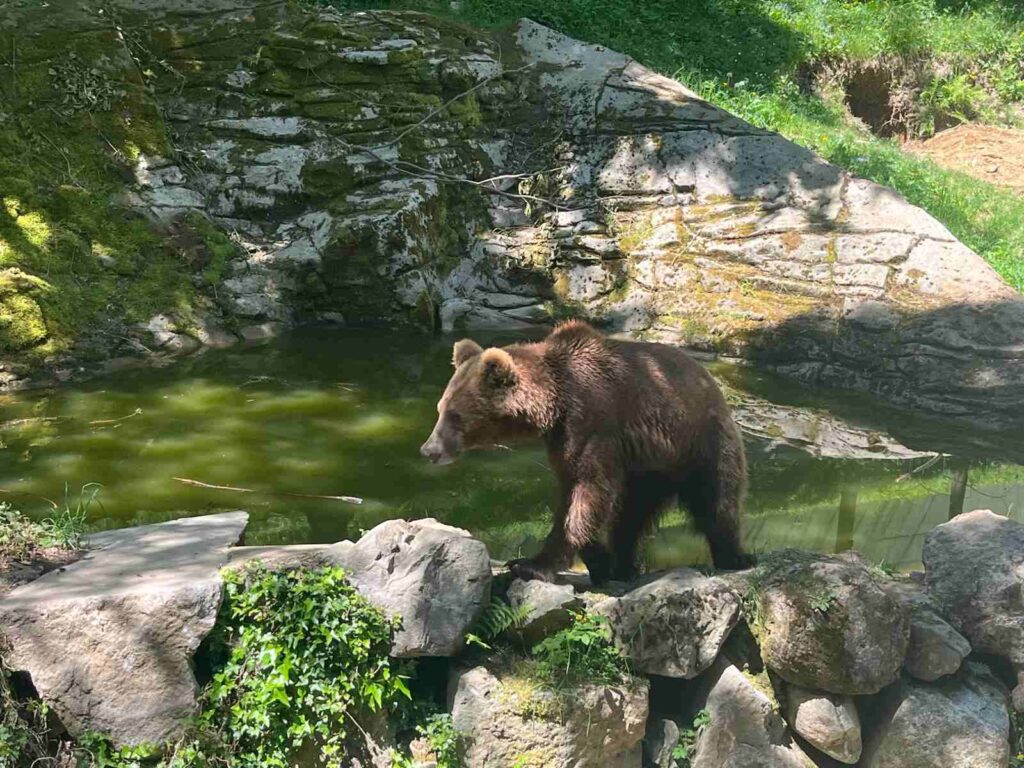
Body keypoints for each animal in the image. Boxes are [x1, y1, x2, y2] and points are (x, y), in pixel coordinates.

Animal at [419, 320, 747, 583]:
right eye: (440, 408)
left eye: (455, 415)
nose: (429, 449)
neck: (555, 402)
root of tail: (709, 379)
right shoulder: (563, 440)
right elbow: (572, 493)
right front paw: (599, 561)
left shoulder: (592, 424)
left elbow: (588, 491)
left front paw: (531, 565)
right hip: (648, 471)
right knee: (630, 518)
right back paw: (624, 567)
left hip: (698, 444)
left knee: (716, 504)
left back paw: (734, 558)